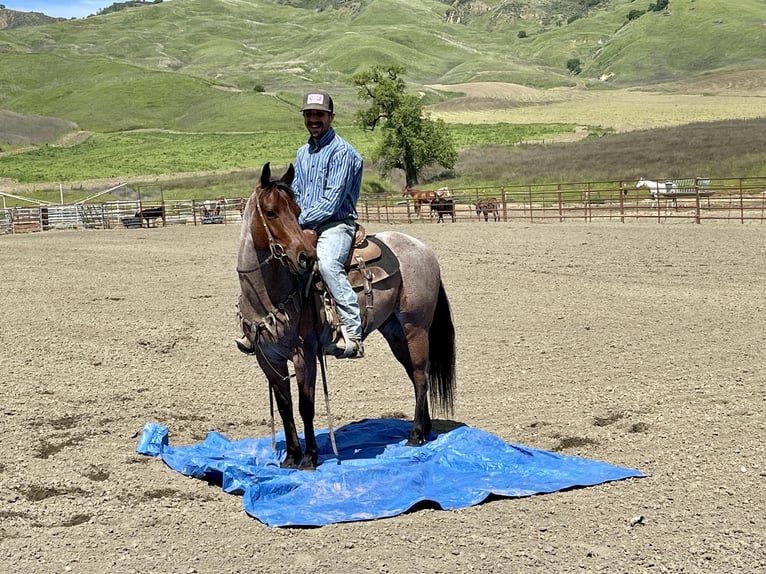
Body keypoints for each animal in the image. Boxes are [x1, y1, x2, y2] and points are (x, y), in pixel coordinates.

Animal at [237, 163, 460, 472]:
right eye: (270, 212)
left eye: (296, 210)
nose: (305, 257)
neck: (268, 294)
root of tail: (423, 249)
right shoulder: (267, 357)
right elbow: (284, 407)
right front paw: (291, 457)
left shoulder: (304, 353)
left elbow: (306, 405)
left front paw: (309, 458)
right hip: (395, 332)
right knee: (417, 375)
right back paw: (425, 431)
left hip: (415, 328)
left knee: (419, 376)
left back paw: (415, 435)